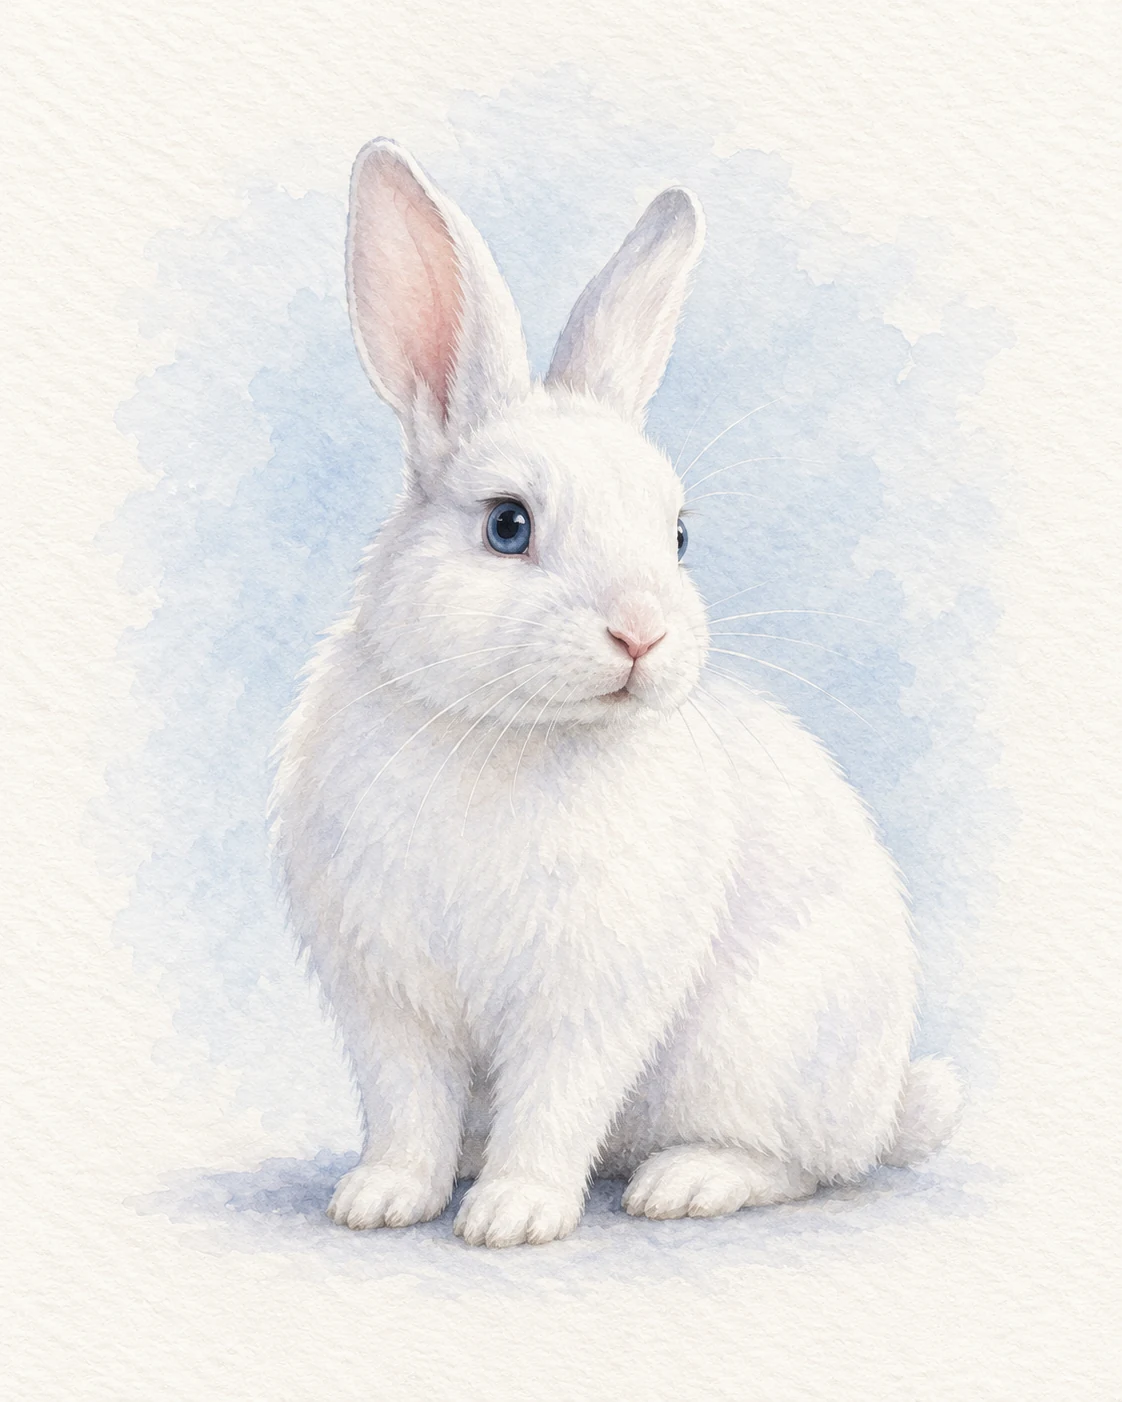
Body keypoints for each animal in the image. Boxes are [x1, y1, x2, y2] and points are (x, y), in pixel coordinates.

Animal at [269, 139, 963, 1248]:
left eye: (675, 535)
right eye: (507, 525)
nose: (643, 633)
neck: (508, 732)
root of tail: (889, 1100)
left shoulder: (587, 996)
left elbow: (557, 1098)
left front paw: (514, 1215)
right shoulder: (389, 1000)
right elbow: (406, 1104)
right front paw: (382, 1198)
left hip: (756, 1054)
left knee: (805, 1166)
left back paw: (686, 1182)